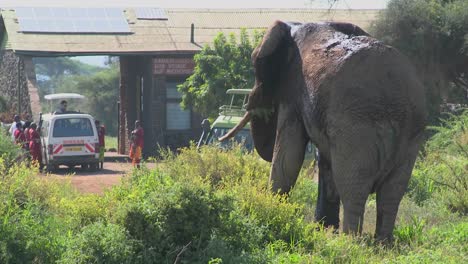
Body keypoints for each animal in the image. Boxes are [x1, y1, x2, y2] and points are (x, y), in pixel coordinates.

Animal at [221, 21, 426, 241]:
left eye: (255, 63)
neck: (293, 25)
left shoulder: (293, 92)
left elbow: (288, 159)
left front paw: (273, 211)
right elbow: (323, 163)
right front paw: (322, 229)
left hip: (357, 128)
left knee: (353, 186)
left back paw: (350, 241)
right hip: (411, 134)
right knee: (392, 193)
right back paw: (382, 243)